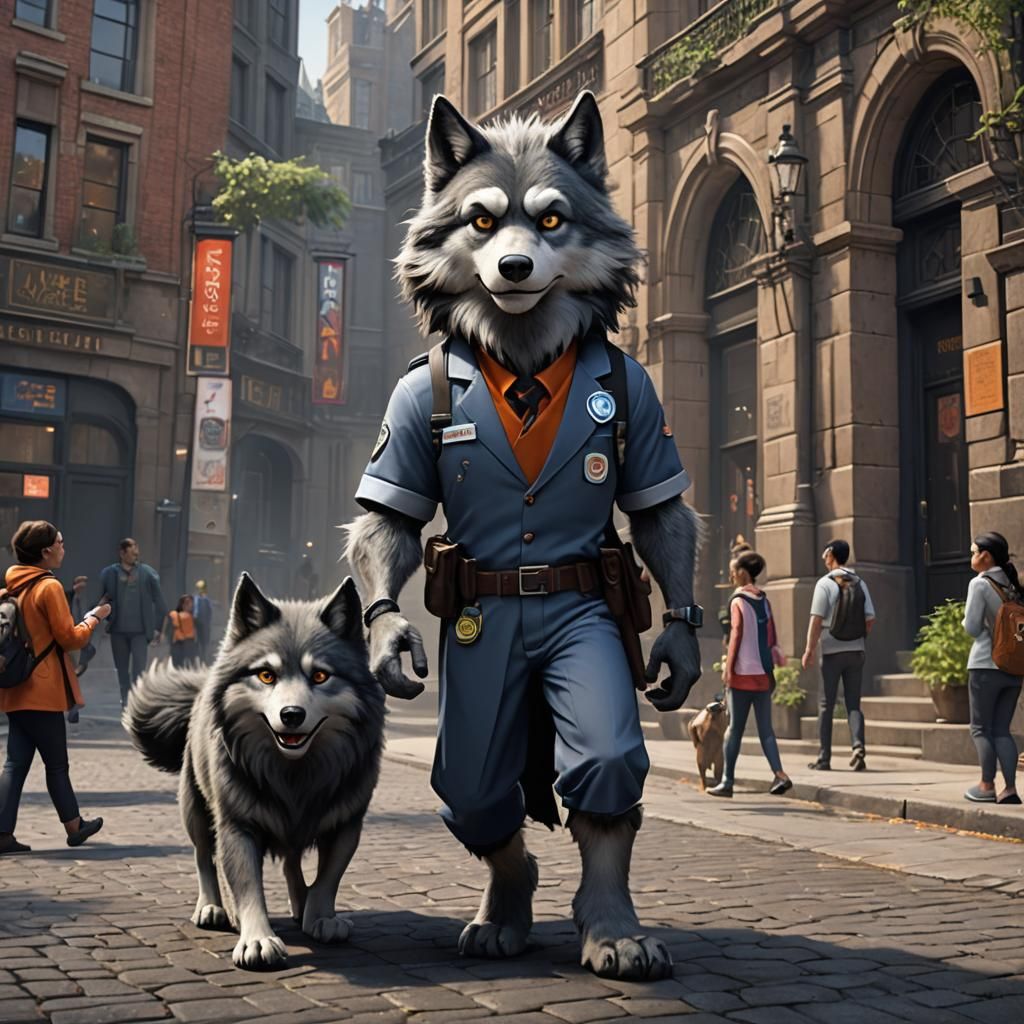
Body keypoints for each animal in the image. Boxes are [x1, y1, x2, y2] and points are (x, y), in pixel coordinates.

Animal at [123, 573, 384, 970]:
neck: (295, 775)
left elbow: (328, 877)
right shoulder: (237, 825)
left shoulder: (346, 823)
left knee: (292, 862)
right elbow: (246, 885)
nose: (291, 715)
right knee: (204, 857)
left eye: (320, 675)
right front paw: (257, 939)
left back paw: (299, 904)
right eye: (266, 675)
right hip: (195, 809)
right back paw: (213, 908)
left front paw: (321, 916)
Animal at [345, 91, 702, 981]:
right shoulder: (409, 407)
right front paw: (390, 639)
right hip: (479, 700)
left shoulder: (640, 395)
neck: (526, 347)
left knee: (589, 769)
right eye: (480, 219)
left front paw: (615, 931)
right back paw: (506, 906)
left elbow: (659, 514)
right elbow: (392, 517)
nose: (511, 269)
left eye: (550, 219)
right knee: (477, 789)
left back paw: (599, 921)